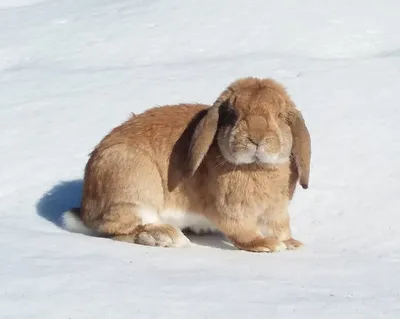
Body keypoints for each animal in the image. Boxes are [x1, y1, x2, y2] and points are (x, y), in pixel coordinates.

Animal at [63, 77, 312, 252]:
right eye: (232, 115)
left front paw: (291, 243)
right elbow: (242, 231)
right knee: (116, 228)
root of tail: (85, 210)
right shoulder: (231, 210)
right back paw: (165, 237)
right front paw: (266, 245)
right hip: (133, 188)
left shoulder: (276, 211)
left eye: (280, 116)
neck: (256, 166)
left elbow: (280, 227)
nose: (256, 138)